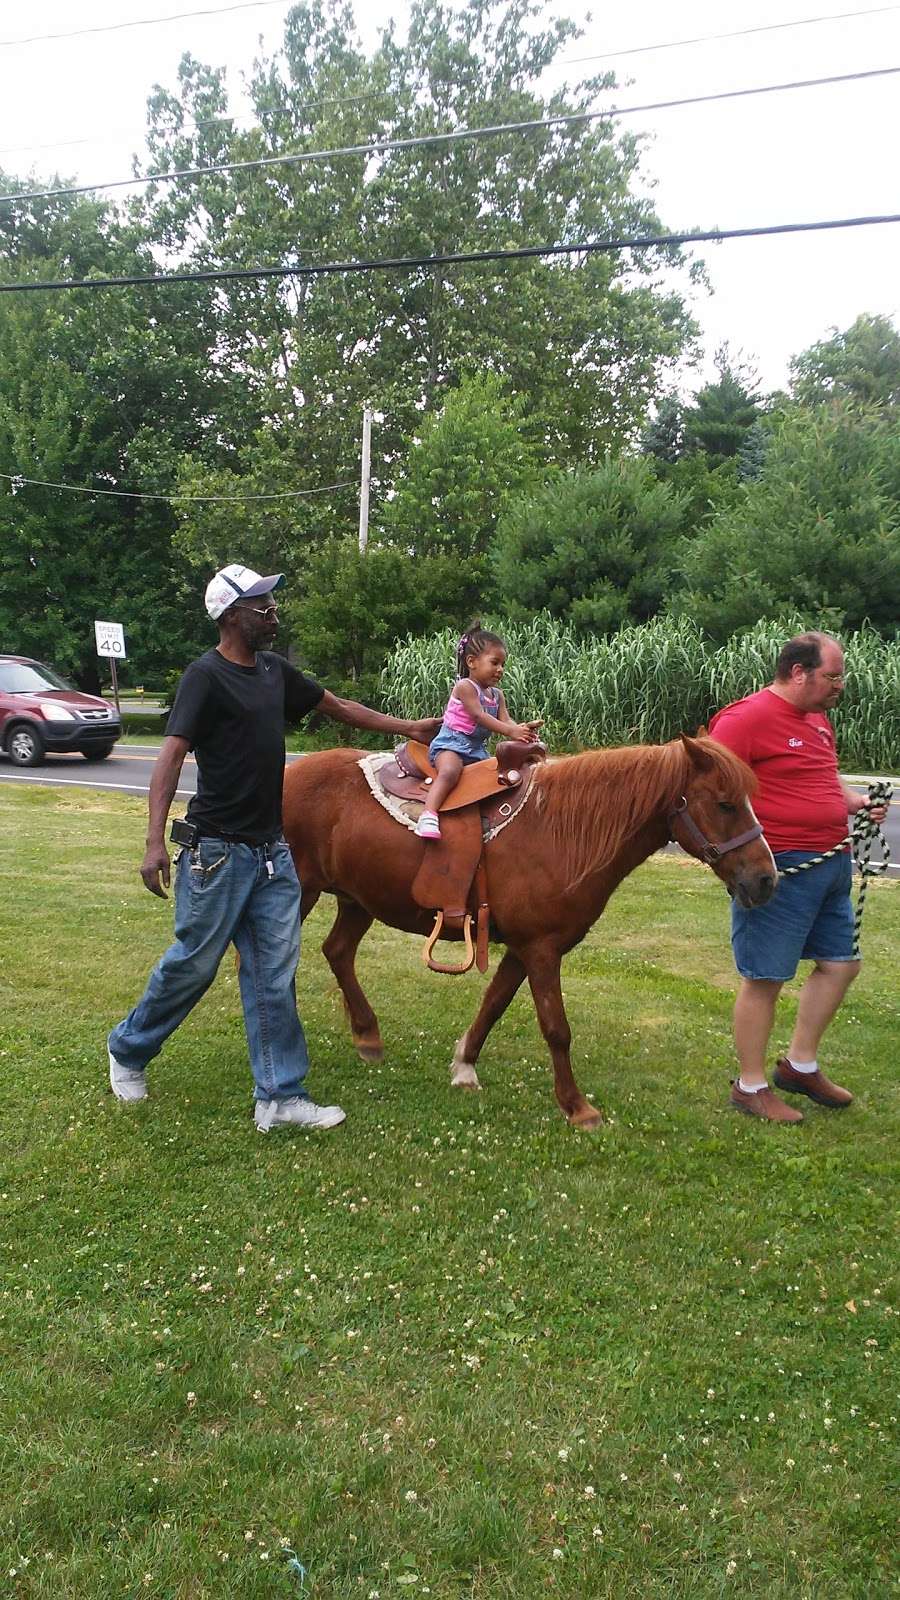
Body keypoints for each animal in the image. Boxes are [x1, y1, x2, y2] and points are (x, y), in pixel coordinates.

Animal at [283, 732, 775, 1126]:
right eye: (726, 803)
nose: (766, 880)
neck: (557, 833)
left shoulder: (523, 948)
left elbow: (493, 1004)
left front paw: (465, 1066)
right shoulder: (541, 949)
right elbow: (556, 1028)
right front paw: (577, 1106)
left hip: (357, 900)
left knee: (338, 952)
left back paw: (367, 1034)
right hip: (304, 893)